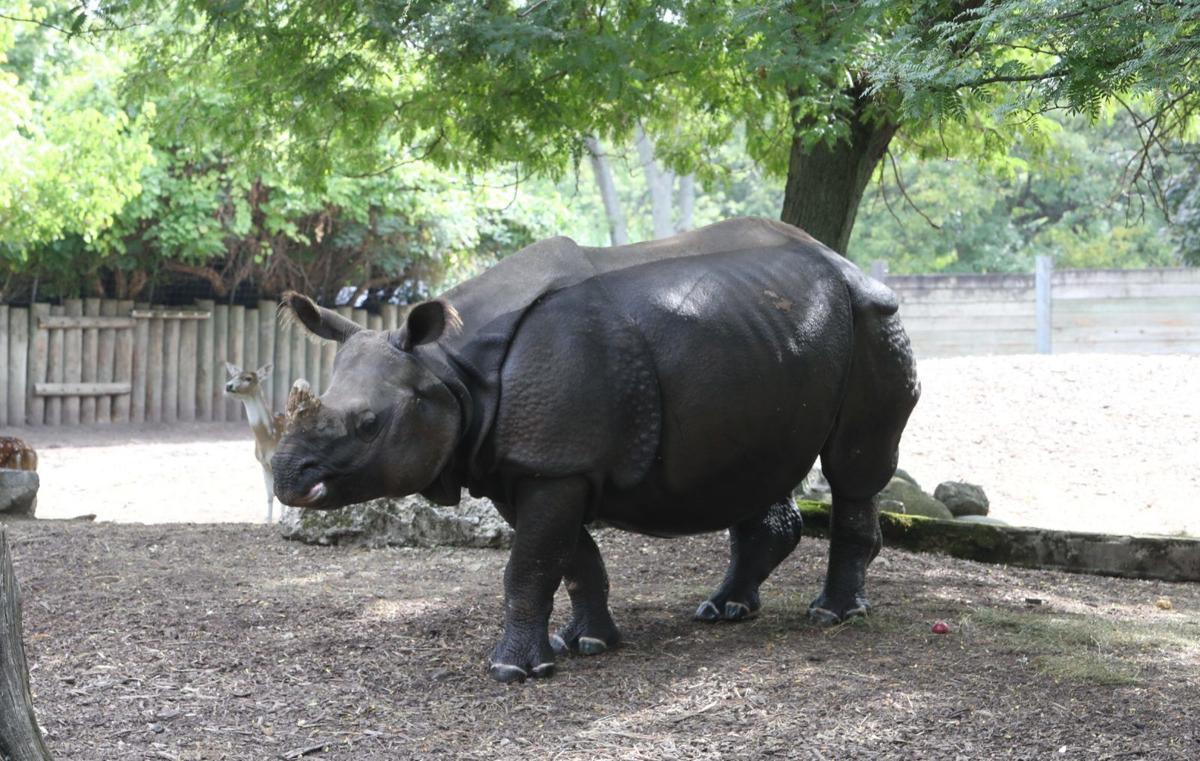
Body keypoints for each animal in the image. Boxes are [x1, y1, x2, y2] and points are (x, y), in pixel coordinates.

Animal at [273, 217, 920, 683]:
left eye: (368, 425)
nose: (285, 476)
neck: (447, 368)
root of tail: (847, 262)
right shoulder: (521, 466)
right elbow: (571, 558)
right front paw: (586, 642)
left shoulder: (556, 464)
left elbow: (530, 565)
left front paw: (513, 670)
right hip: (769, 339)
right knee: (763, 465)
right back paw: (725, 610)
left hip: (873, 319)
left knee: (852, 465)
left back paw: (832, 614)